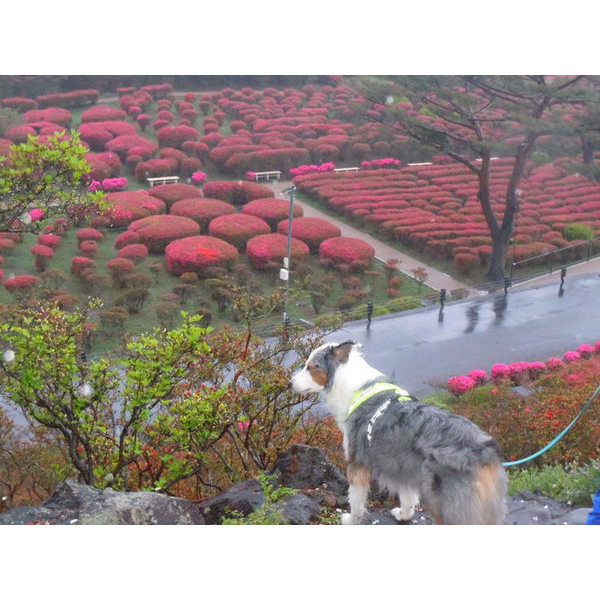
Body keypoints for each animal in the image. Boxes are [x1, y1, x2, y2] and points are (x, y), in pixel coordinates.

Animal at [290, 342, 506, 524]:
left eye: (311, 366)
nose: (289, 383)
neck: (355, 388)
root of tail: (484, 452)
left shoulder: (357, 463)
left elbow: (356, 500)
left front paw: (351, 519)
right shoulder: (402, 464)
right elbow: (407, 496)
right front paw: (404, 515)